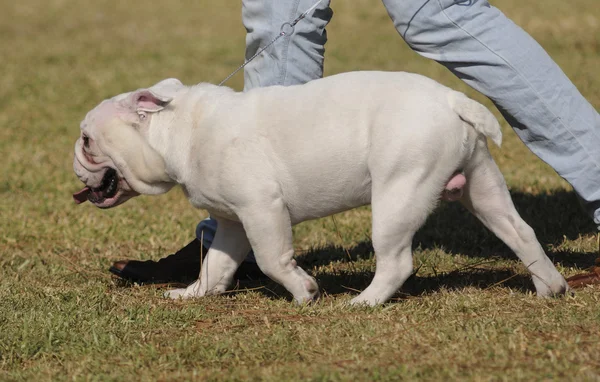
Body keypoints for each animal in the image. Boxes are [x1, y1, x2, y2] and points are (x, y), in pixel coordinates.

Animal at [72, 71, 568, 304]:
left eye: (87, 140)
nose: (74, 160)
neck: (177, 127)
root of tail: (452, 100)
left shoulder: (262, 209)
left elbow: (272, 260)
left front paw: (304, 291)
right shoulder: (233, 222)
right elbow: (215, 264)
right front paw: (193, 294)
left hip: (398, 195)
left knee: (396, 261)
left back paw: (365, 302)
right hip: (482, 188)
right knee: (522, 234)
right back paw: (552, 288)